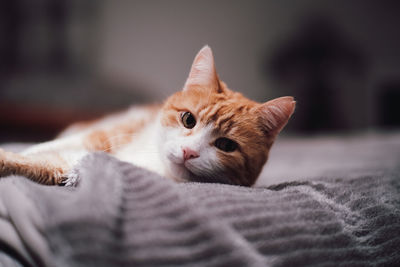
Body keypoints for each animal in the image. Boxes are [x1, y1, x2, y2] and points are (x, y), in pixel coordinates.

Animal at [0, 46, 294, 187]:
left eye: (226, 145)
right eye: (188, 120)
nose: (188, 152)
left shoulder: (65, 167)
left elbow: (33, 164)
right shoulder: (104, 135)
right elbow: (40, 149)